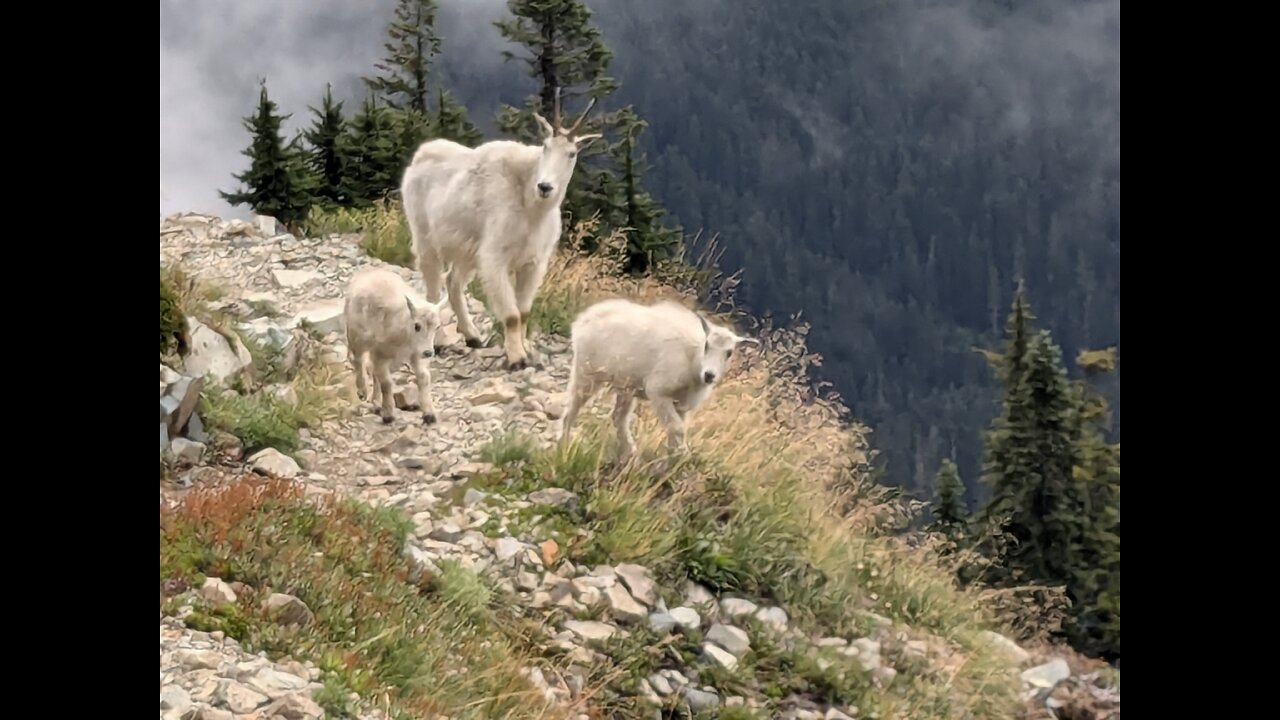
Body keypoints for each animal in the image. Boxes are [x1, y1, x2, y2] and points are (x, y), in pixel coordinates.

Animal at [345, 266, 450, 422]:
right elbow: (387, 383)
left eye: (437, 327)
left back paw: (376, 403)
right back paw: (363, 391)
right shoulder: (381, 354)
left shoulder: (415, 355)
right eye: (417, 326)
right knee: (358, 360)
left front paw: (429, 414)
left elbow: (424, 378)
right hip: (356, 337)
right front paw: (388, 415)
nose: (428, 353)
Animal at [399, 89, 599, 366]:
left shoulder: (533, 263)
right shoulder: (495, 258)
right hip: (426, 238)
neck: (531, 207)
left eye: (572, 154)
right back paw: (439, 342)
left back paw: (472, 336)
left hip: (467, 250)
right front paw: (516, 358)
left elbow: (523, 312)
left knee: (453, 282)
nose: (545, 187)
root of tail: (418, 159)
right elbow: (512, 315)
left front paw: (527, 350)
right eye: (545, 147)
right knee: (432, 290)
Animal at [563, 298, 757, 456]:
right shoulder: (659, 392)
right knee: (572, 408)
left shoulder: (683, 404)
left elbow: (678, 429)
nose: (709, 375)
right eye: (707, 345)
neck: (692, 361)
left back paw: (629, 451)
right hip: (586, 372)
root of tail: (584, 319)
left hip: (626, 386)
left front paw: (675, 456)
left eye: (729, 352)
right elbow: (676, 428)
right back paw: (564, 442)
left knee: (619, 417)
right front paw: (680, 455)